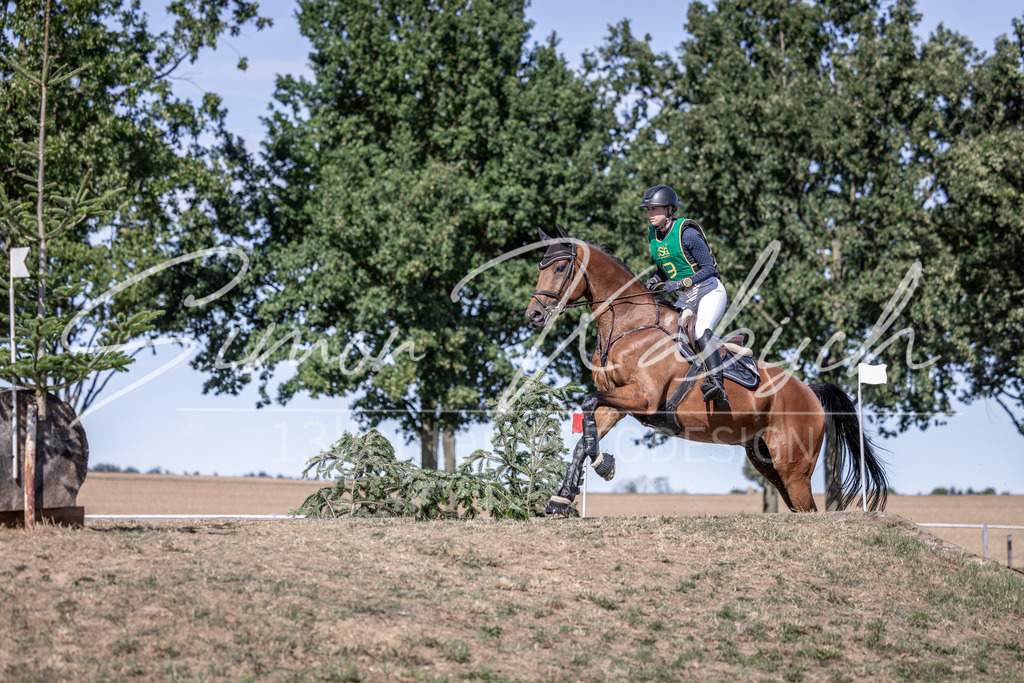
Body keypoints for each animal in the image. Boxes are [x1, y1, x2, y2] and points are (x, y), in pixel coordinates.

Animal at [525, 225, 888, 516]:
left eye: (560, 267)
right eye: (540, 266)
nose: (534, 315)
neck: (629, 324)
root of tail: (809, 391)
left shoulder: (643, 397)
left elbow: (587, 403)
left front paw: (604, 467)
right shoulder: (617, 402)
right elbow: (585, 435)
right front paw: (562, 498)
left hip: (793, 467)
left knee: (808, 508)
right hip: (765, 461)